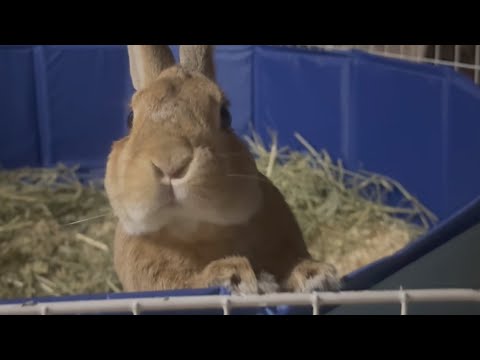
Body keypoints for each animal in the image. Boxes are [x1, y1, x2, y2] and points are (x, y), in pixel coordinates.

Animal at [105, 45, 342, 294]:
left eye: (225, 115)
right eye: (130, 118)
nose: (171, 163)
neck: (191, 229)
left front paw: (316, 274)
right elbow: (184, 282)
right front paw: (233, 274)